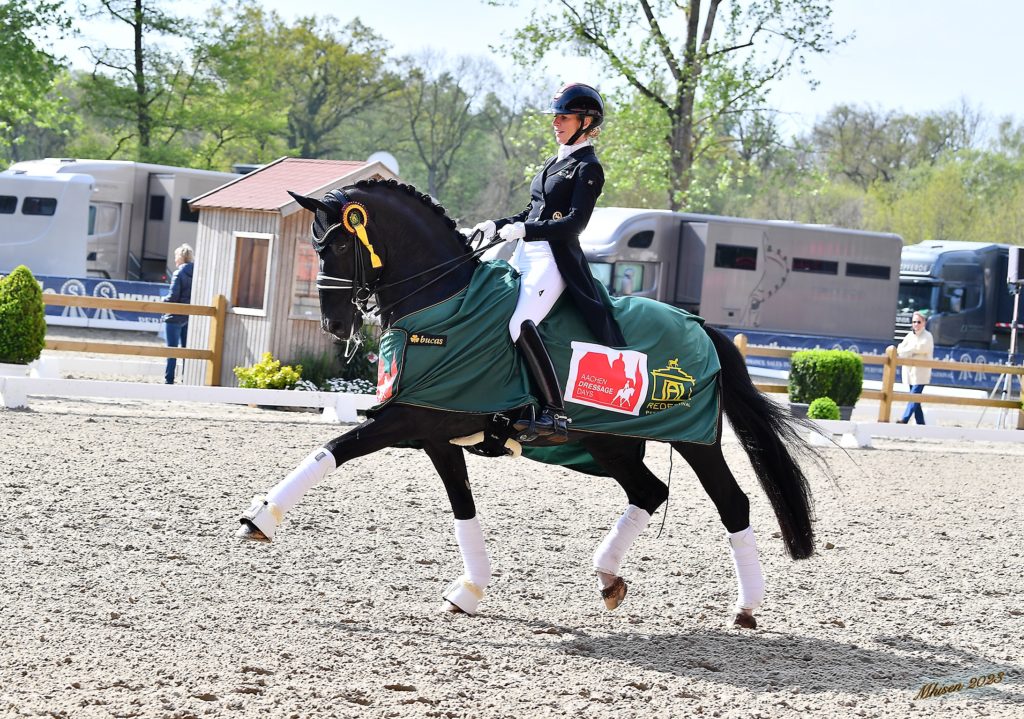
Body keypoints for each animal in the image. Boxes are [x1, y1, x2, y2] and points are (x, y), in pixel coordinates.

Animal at [235, 177, 819, 626]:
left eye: (334, 247)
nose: (335, 326)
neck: (443, 303)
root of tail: (701, 326)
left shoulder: (407, 417)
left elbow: (336, 447)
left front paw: (260, 518)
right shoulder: (435, 430)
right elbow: (462, 507)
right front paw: (469, 590)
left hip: (695, 440)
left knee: (732, 504)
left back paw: (745, 608)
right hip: (609, 443)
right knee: (649, 491)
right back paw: (608, 576)